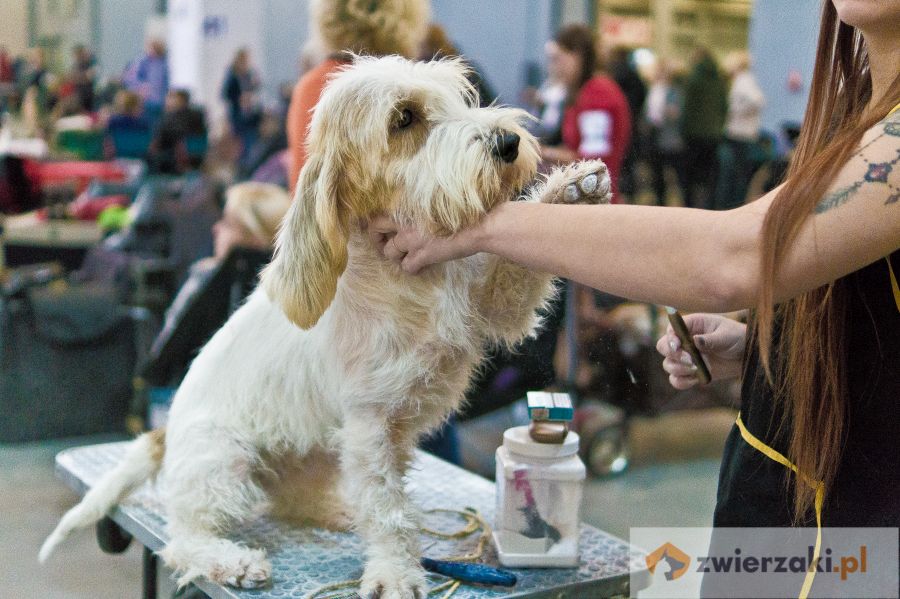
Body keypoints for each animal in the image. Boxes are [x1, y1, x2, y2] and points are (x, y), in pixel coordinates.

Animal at [38, 55, 608, 596]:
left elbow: (520, 271)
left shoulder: (495, 309)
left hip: (318, 451)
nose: (508, 143)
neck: (407, 277)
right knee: (184, 540)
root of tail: (164, 434)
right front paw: (395, 572)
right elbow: (387, 510)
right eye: (404, 118)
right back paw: (233, 561)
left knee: (292, 499)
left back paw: (337, 511)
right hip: (226, 461)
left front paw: (573, 190)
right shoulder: (371, 426)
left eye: (461, 97)